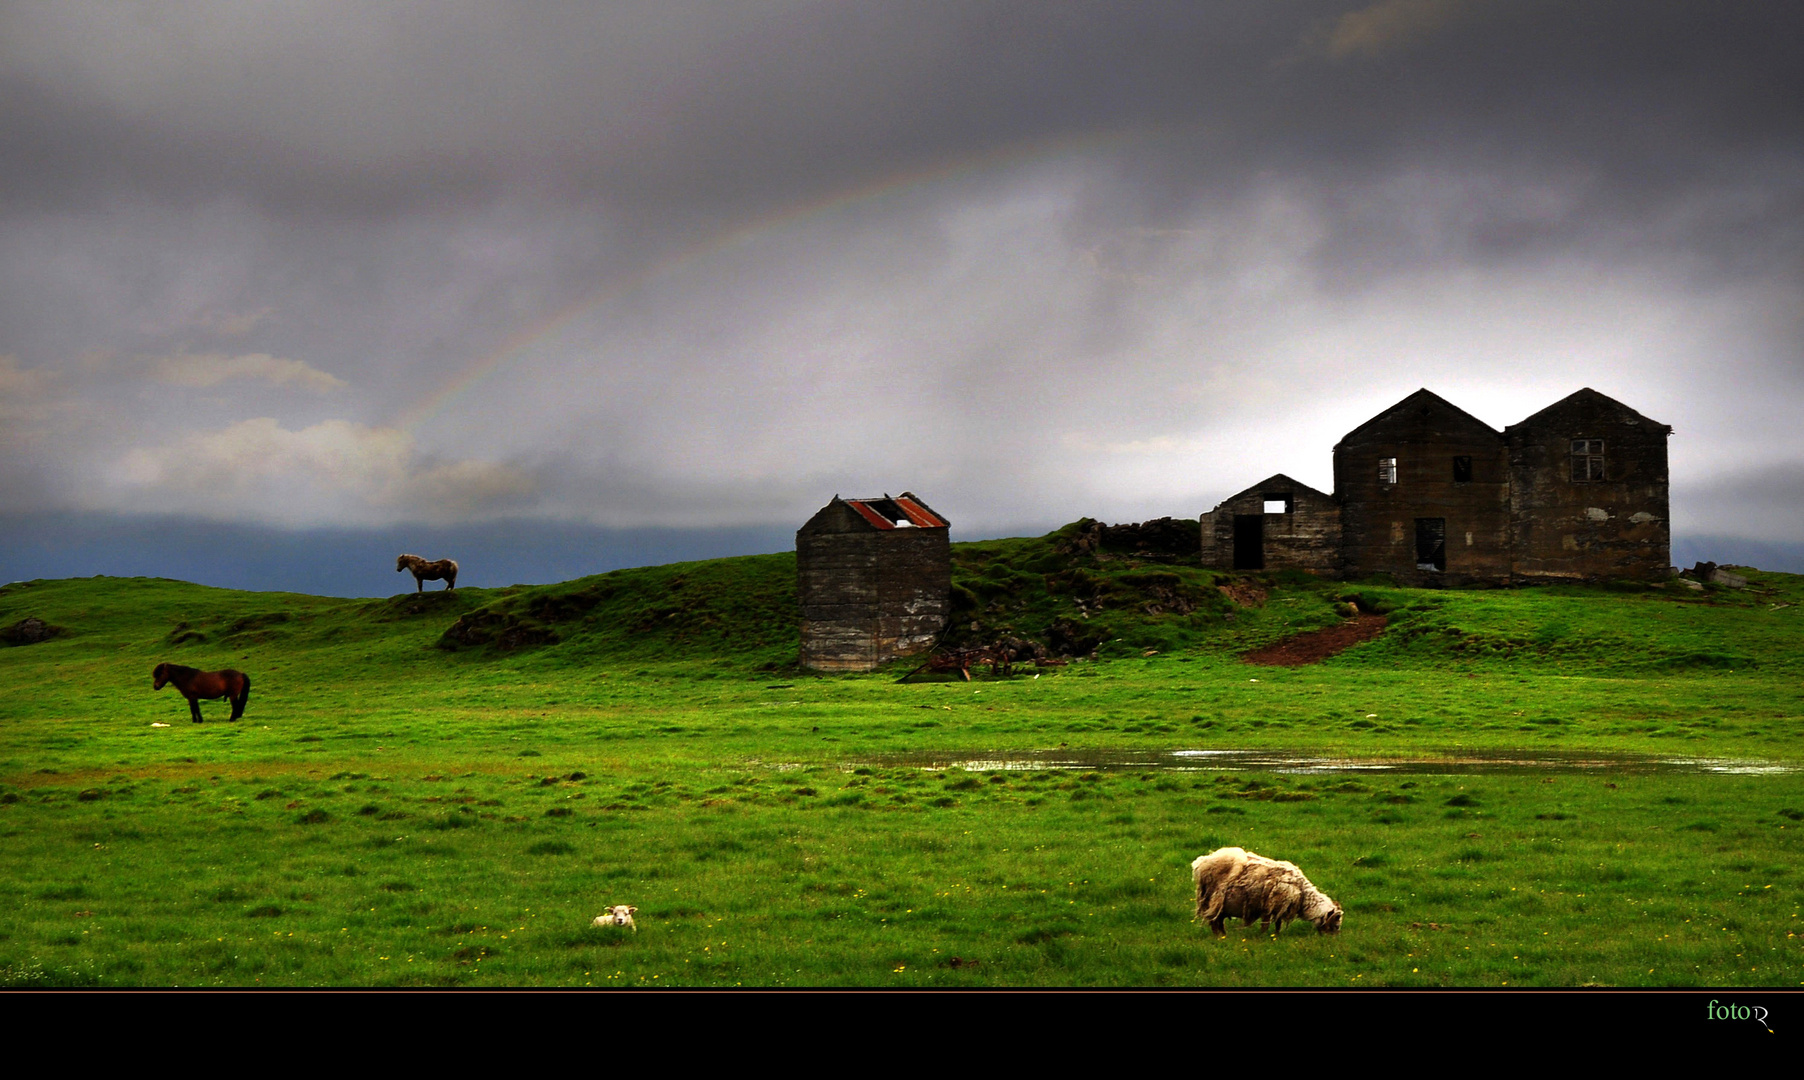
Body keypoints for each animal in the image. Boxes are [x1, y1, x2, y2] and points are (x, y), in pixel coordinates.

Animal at [1197, 843, 1342, 937]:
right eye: (1336, 924)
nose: (1332, 939)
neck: (1303, 893)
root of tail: (1203, 862)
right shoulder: (1270, 906)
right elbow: (1266, 924)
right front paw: (1262, 936)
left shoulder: (1281, 907)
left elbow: (1278, 923)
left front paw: (1277, 936)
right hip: (1214, 900)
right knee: (1214, 921)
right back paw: (1219, 937)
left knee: (1218, 921)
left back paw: (1223, 935)